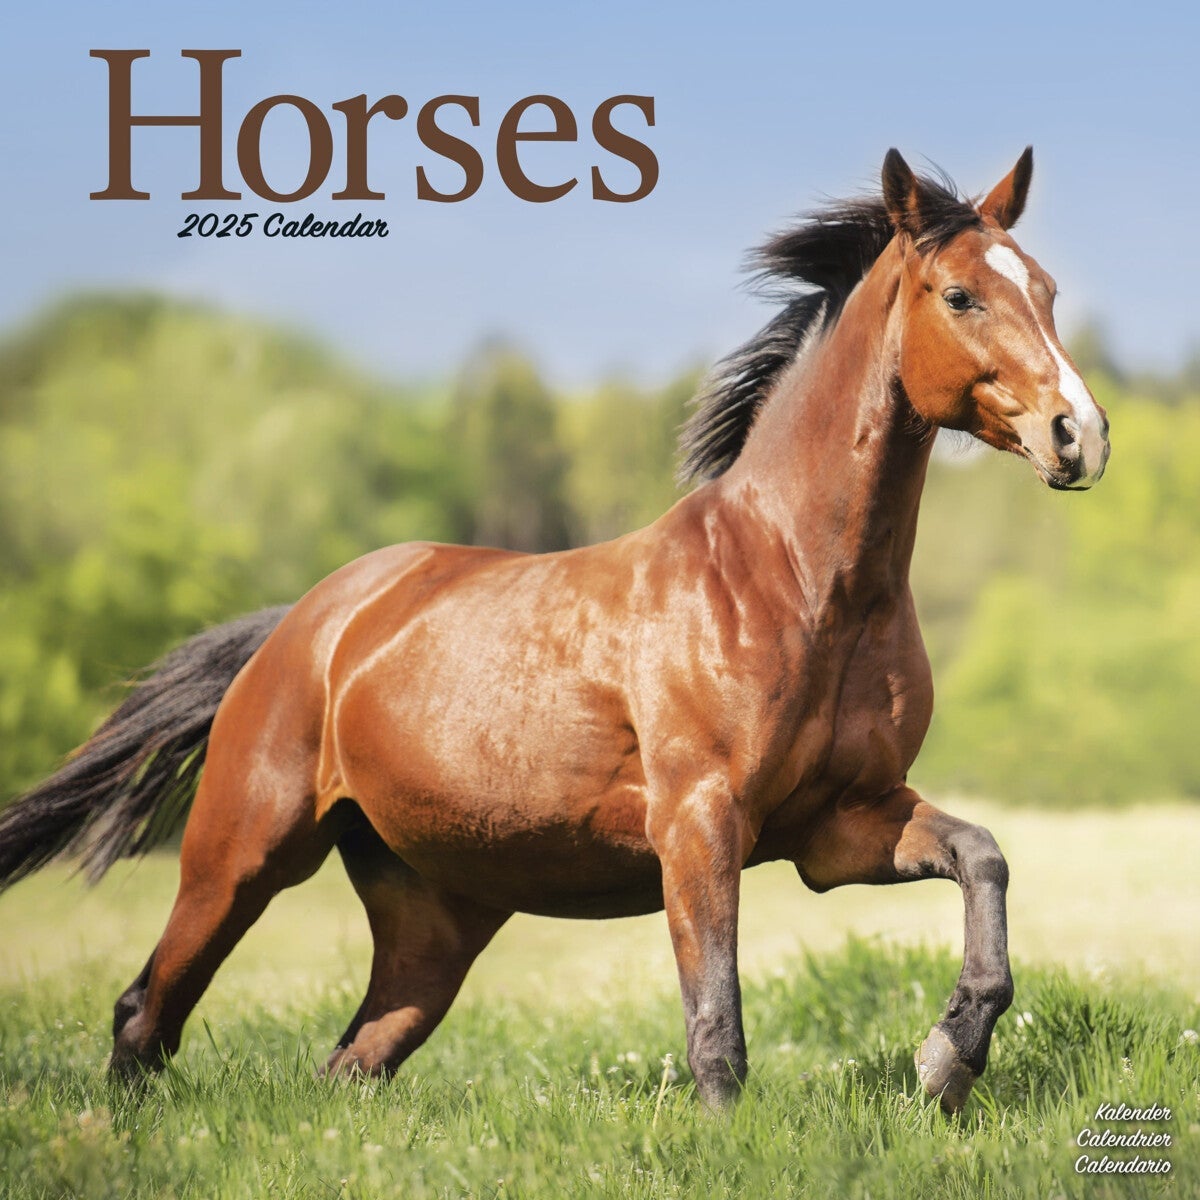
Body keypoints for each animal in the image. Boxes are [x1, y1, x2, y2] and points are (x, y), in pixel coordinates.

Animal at [0, 148, 1109, 1114]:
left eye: (1049, 291)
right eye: (960, 296)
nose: (1080, 435)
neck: (800, 582)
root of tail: (304, 627)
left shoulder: (842, 826)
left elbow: (984, 858)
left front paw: (947, 1061)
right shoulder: (700, 824)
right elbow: (716, 1021)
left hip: (434, 921)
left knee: (350, 1061)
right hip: (241, 855)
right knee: (146, 1013)